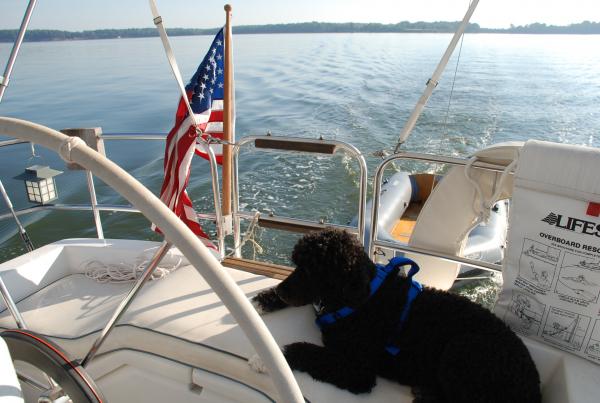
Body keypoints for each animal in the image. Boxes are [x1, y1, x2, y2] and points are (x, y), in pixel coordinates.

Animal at [251, 229, 540, 402]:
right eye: (297, 263)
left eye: (311, 270)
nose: (282, 289)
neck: (363, 296)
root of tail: (533, 385)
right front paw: (260, 301)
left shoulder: (358, 371)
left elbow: (307, 351)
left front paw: (269, 358)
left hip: (463, 349)